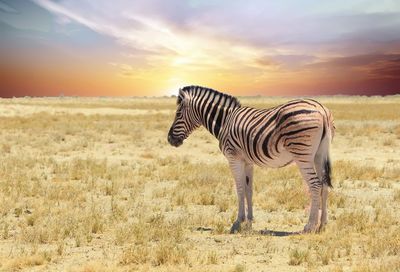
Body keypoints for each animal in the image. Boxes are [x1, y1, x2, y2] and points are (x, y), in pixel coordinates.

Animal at [168, 85, 334, 234]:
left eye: (178, 113)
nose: (169, 139)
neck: (225, 121)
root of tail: (322, 110)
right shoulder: (247, 161)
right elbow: (249, 189)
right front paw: (249, 222)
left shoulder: (234, 158)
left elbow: (240, 188)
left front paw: (237, 222)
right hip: (319, 154)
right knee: (324, 184)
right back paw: (322, 225)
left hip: (302, 155)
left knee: (315, 185)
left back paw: (309, 226)